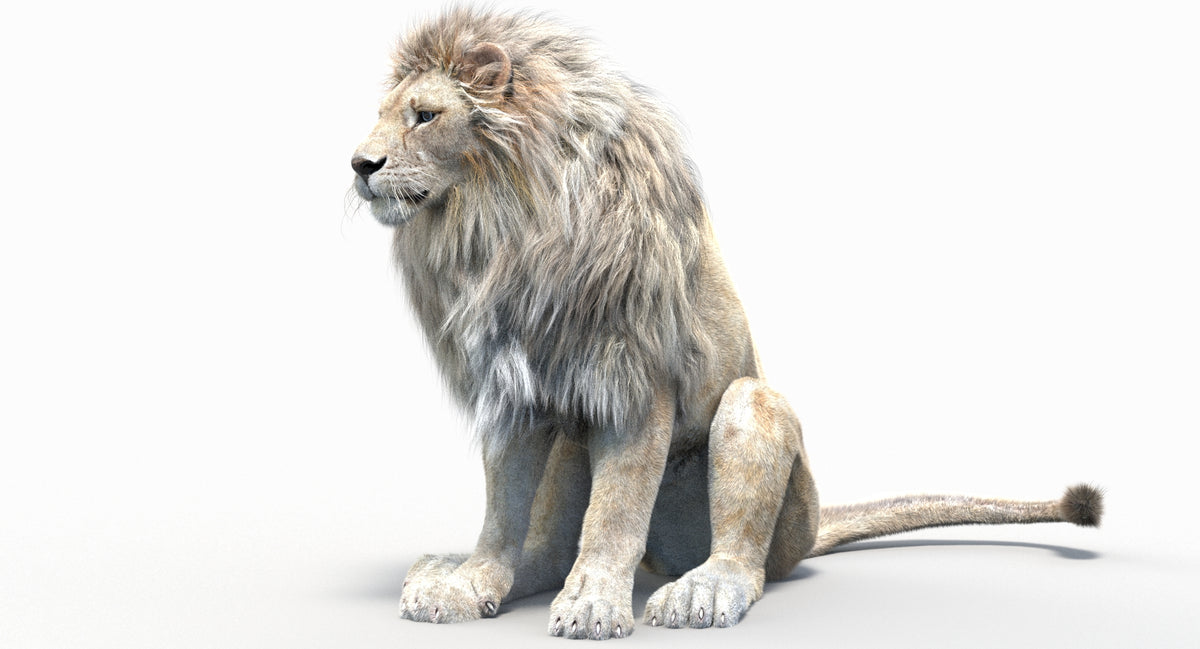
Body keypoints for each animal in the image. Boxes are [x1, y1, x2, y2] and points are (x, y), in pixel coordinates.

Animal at [349, 8, 1103, 640]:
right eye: (381, 114)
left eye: (424, 115)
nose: (359, 164)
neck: (500, 224)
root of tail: (815, 525)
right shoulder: (511, 384)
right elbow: (504, 506)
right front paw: (469, 580)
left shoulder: (637, 378)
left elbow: (616, 510)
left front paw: (592, 605)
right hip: (573, 432)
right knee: (550, 541)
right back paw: (450, 571)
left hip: (754, 419)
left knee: (747, 554)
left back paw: (701, 589)